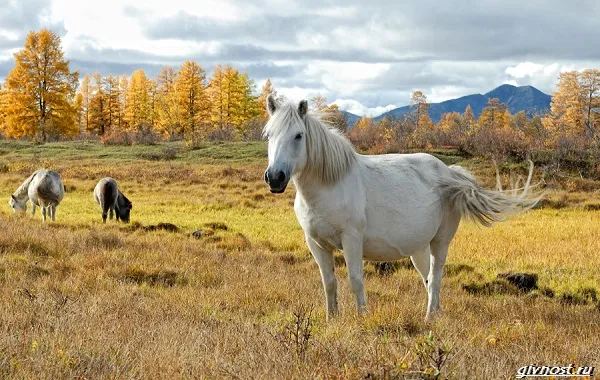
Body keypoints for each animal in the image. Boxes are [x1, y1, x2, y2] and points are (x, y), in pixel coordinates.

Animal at [262, 95, 540, 320]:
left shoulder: (352, 240)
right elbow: (329, 283)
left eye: (298, 135)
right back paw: (436, 313)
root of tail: (449, 173)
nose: (275, 177)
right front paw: (333, 320)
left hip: (440, 241)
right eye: (269, 135)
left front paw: (362, 318)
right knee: (428, 278)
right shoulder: (316, 243)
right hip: (419, 248)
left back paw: (429, 318)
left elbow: (355, 280)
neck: (331, 184)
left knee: (436, 277)